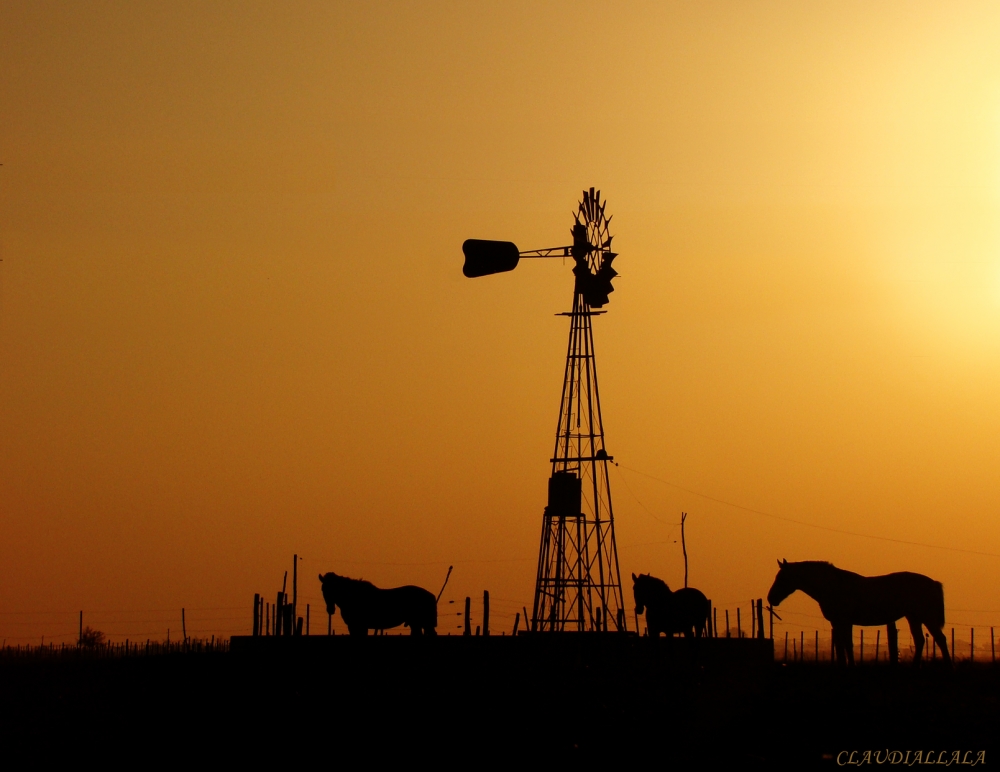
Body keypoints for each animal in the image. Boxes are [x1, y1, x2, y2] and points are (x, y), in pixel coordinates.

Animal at [768, 556, 948, 668]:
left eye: (782, 578)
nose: (771, 598)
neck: (833, 586)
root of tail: (933, 583)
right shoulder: (838, 623)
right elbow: (841, 645)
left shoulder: (844, 621)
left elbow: (847, 644)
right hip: (914, 617)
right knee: (920, 641)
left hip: (926, 617)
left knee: (940, 639)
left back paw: (948, 666)